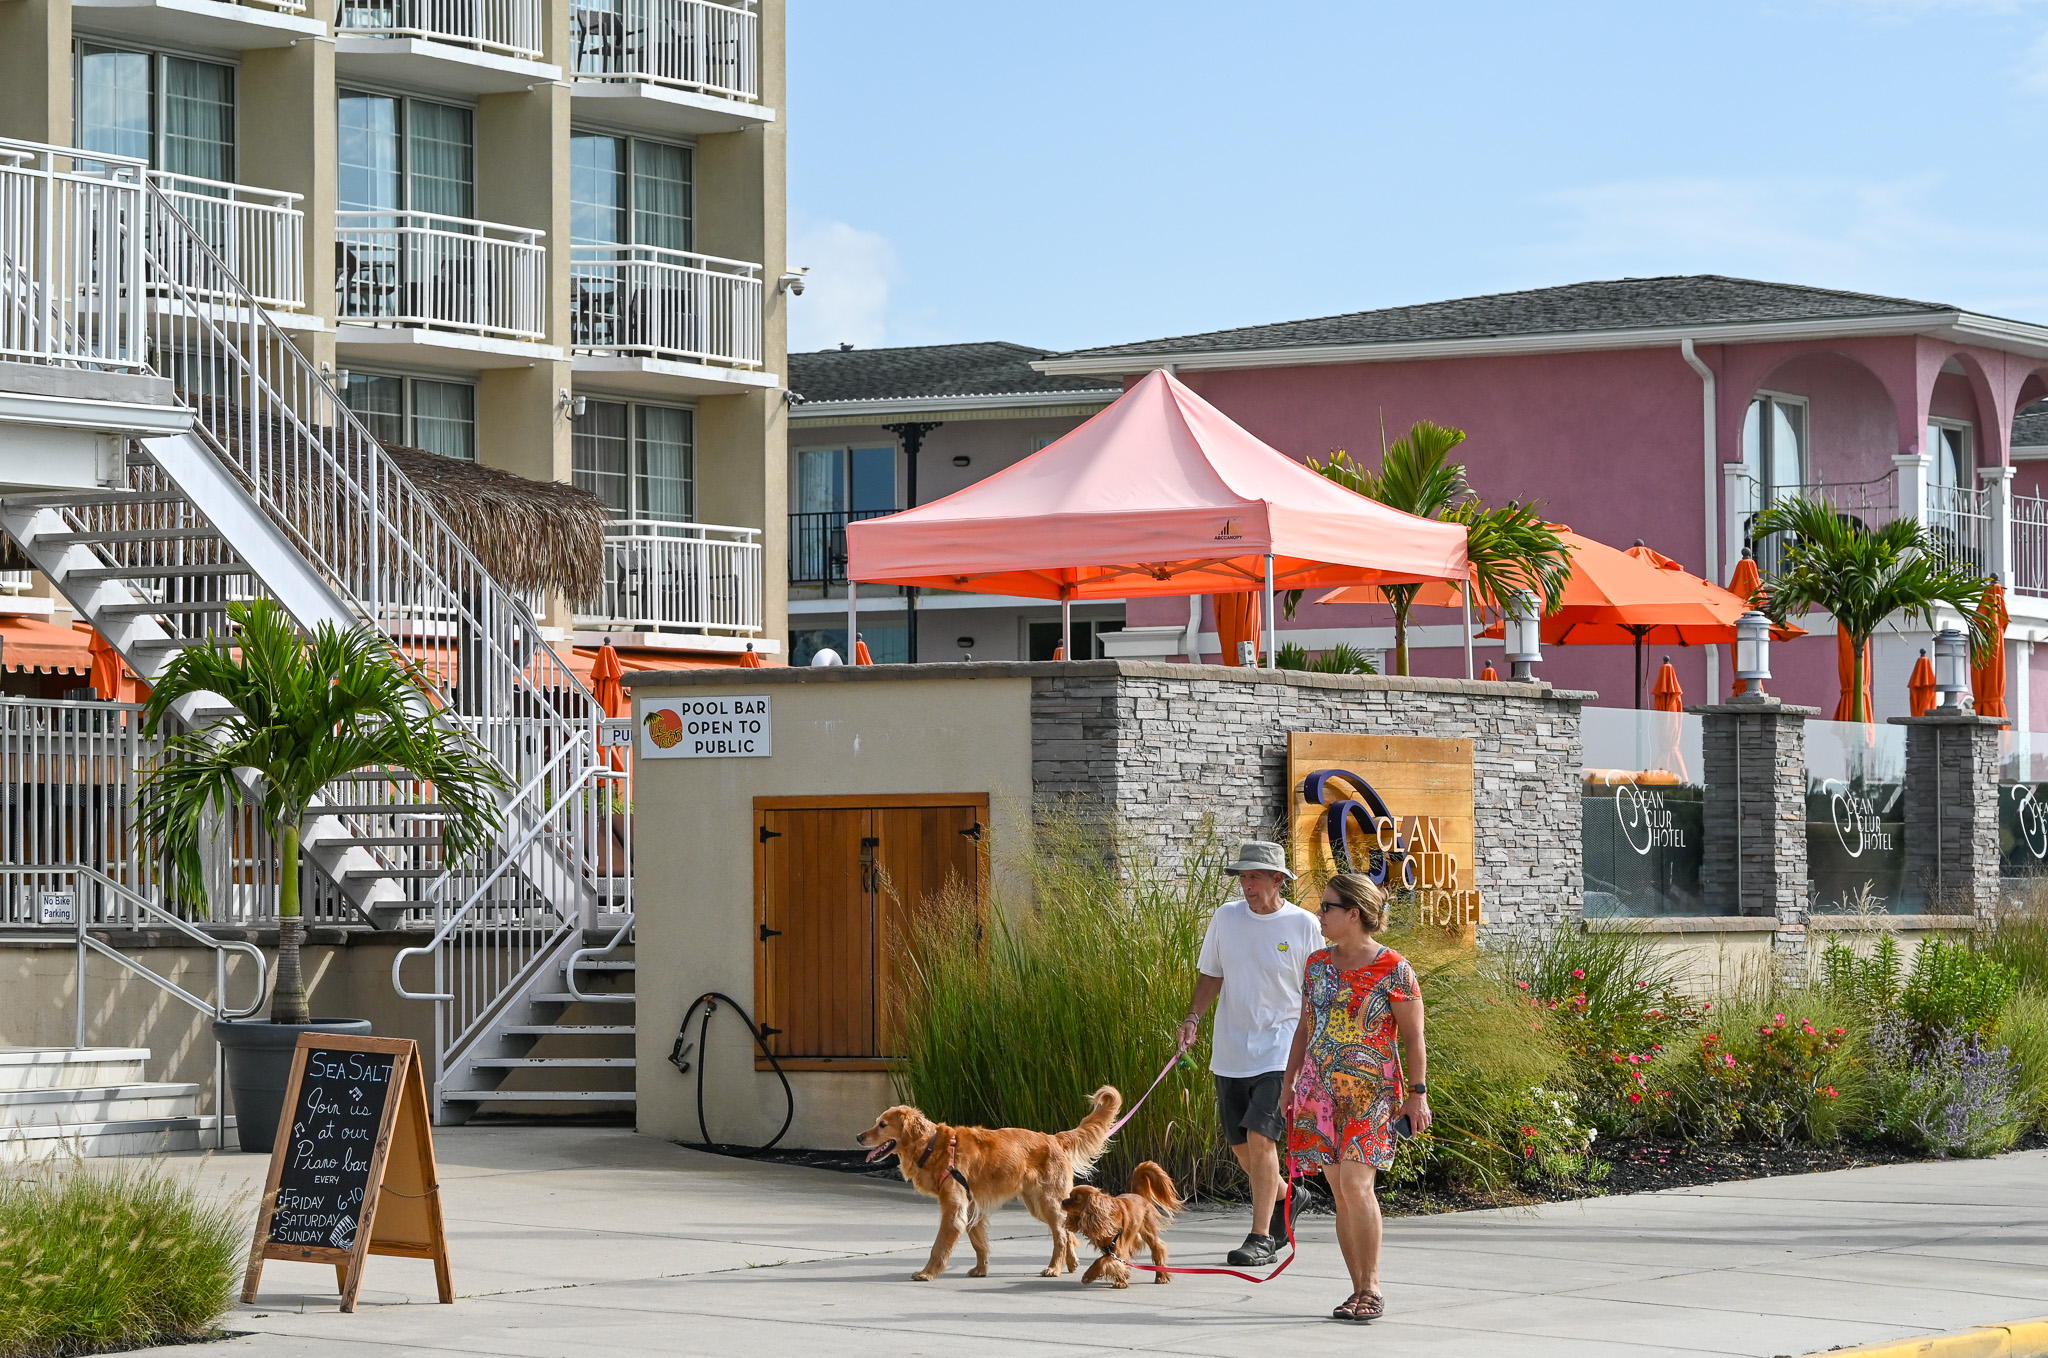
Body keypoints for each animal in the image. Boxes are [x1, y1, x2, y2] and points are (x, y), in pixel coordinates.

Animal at [860, 1081, 1130, 1286]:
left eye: (883, 1125)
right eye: (877, 1122)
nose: (858, 1136)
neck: (933, 1145)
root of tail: (1053, 1138)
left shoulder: (954, 1209)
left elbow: (938, 1247)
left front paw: (927, 1273)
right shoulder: (971, 1208)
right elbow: (979, 1243)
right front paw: (981, 1270)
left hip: (1048, 1202)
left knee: (1061, 1235)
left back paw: (1054, 1268)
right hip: (1039, 1204)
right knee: (1067, 1231)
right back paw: (1071, 1263)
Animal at [1056, 1163, 1187, 1294]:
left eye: (1076, 1199)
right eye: (1069, 1195)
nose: (1063, 1201)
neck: (1105, 1215)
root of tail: (1138, 1194)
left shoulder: (1117, 1248)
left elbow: (1100, 1261)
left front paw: (1089, 1275)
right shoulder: (1109, 1249)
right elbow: (1115, 1263)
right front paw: (1121, 1281)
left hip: (1149, 1233)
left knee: (1158, 1249)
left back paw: (1161, 1276)